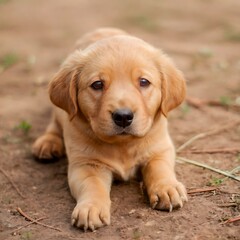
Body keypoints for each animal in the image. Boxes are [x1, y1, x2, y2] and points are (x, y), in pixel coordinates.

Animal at [32, 27, 188, 231]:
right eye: (97, 84)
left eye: (144, 82)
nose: (123, 116)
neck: (123, 145)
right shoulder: (86, 165)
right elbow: (93, 185)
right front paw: (90, 208)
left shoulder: (161, 148)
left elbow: (159, 167)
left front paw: (167, 188)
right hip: (60, 112)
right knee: (54, 125)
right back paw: (48, 143)